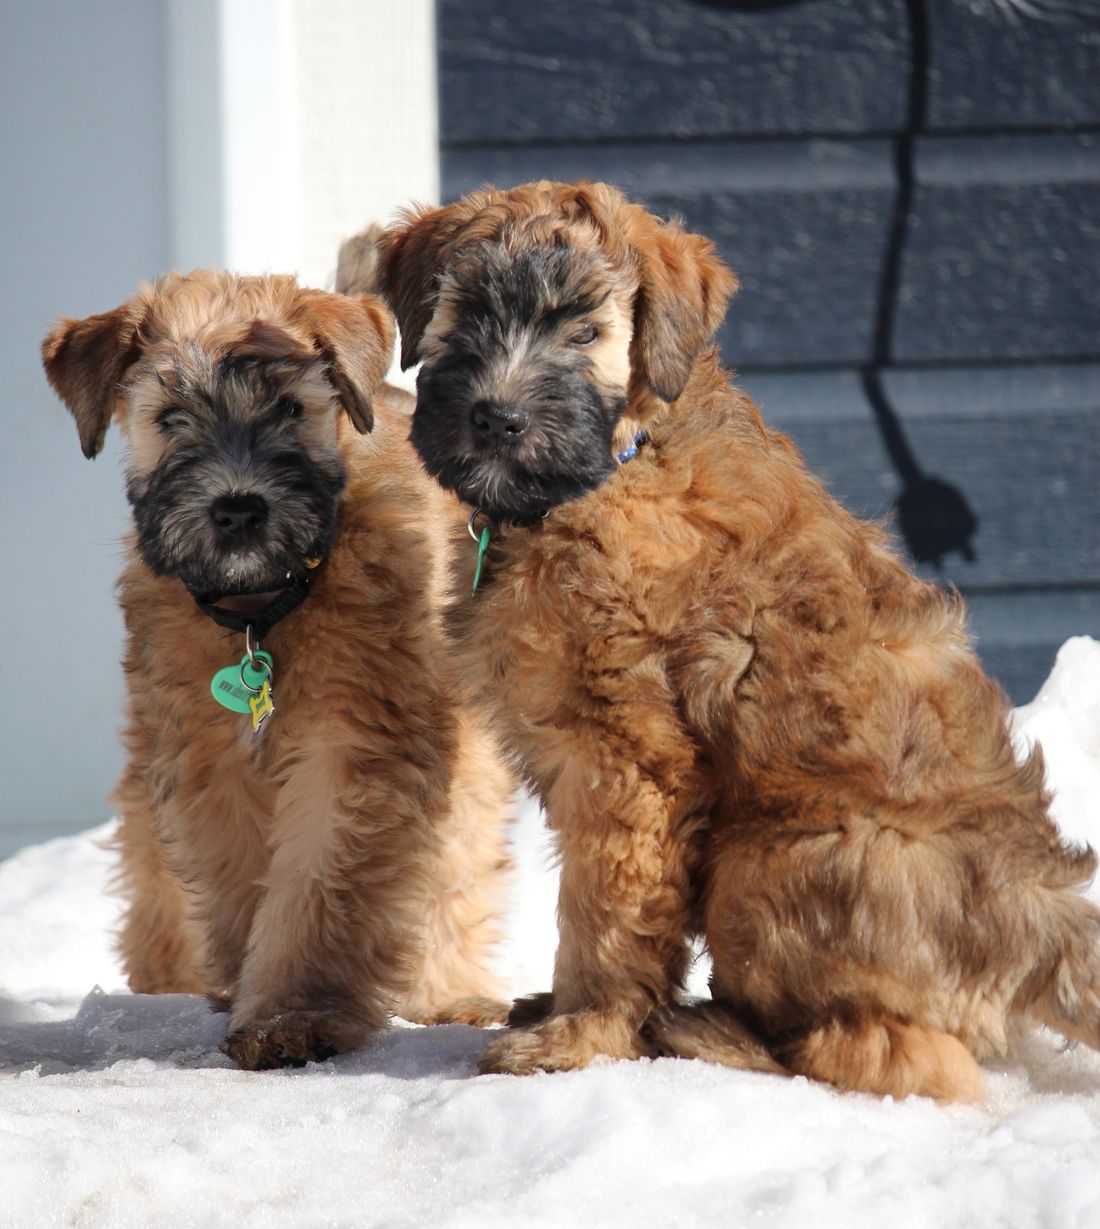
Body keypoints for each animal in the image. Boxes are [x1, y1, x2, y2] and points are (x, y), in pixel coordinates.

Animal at [43, 269, 516, 1066]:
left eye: (293, 409)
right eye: (171, 418)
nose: (238, 510)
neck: (261, 612)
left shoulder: (355, 740)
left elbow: (320, 882)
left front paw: (295, 1013)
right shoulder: (207, 754)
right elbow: (241, 880)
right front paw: (251, 990)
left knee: (456, 864)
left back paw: (448, 993)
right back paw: (169, 978)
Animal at [368, 178, 1100, 1101]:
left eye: (587, 333)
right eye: (464, 312)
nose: (496, 419)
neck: (617, 462)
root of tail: (1039, 913)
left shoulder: (628, 756)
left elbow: (606, 904)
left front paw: (580, 1034)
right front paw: (567, 1015)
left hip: (767, 864)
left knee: (889, 1053)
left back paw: (706, 1031)